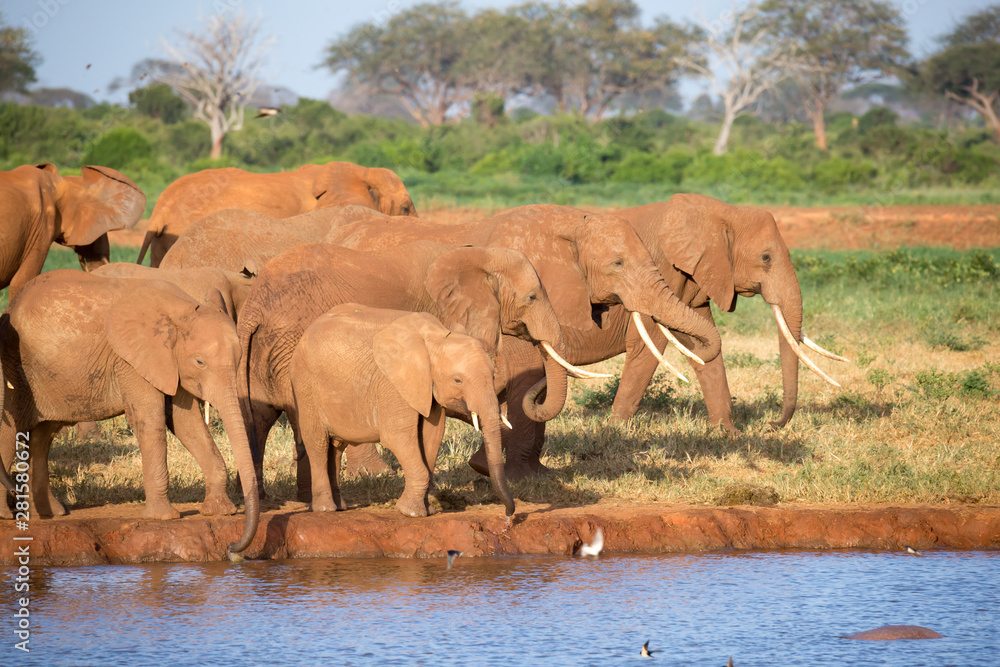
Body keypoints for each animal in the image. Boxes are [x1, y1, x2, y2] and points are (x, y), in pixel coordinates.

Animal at [0, 271, 258, 556]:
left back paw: (50, 513)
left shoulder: (169, 362)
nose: (232, 547)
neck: (181, 310)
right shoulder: (132, 360)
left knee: (44, 435)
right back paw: (8, 515)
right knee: (10, 432)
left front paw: (220, 512)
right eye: (200, 362)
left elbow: (186, 422)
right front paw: (163, 517)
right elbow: (152, 419)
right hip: (16, 365)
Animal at [291, 304, 515, 519]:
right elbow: (397, 437)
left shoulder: (427, 388)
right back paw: (325, 509)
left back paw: (339, 507)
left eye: (492, 376)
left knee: (336, 446)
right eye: (457, 380)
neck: (436, 337)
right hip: (305, 388)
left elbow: (431, 436)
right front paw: (411, 513)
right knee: (318, 444)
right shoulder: (393, 385)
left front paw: (427, 510)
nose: (508, 514)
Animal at [327, 204, 723, 479]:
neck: (571, 223)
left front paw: (524, 472)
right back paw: (374, 474)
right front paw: (516, 476)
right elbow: (528, 370)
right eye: (618, 264)